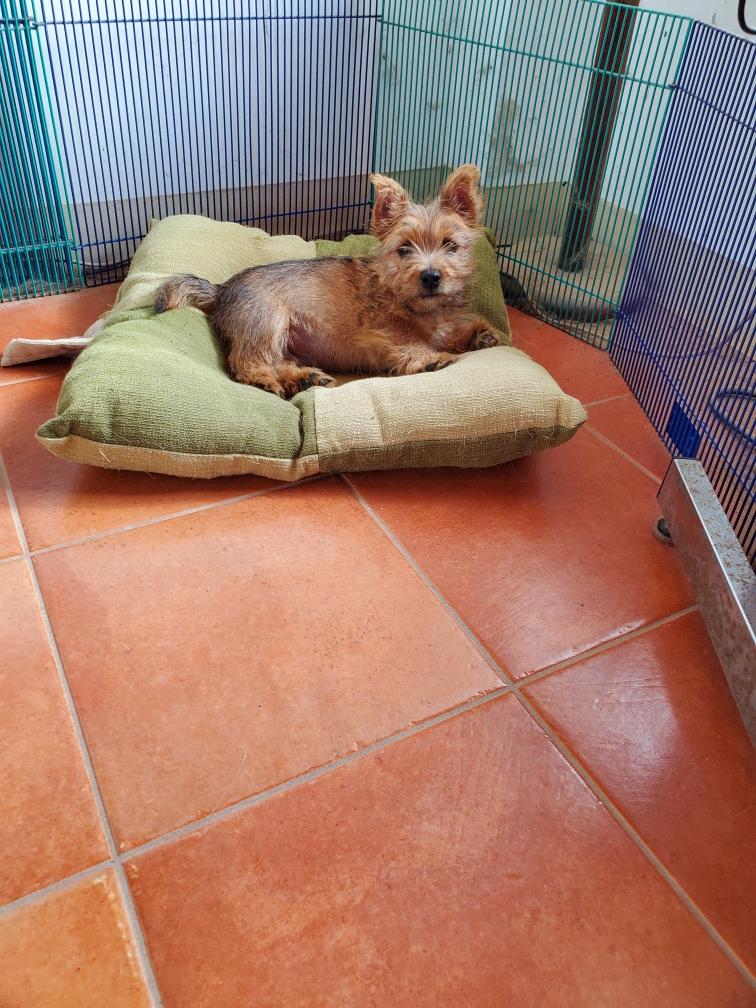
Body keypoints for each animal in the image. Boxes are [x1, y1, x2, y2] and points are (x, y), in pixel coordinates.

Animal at [154, 165, 502, 398]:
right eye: (404, 249)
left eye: (450, 245)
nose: (431, 276)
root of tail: (222, 288)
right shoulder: (385, 328)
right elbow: (409, 342)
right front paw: (431, 359)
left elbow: (448, 334)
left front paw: (477, 333)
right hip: (266, 322)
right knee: (245, 362)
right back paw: (268, 380)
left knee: (278, 361)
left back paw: (303, 379)